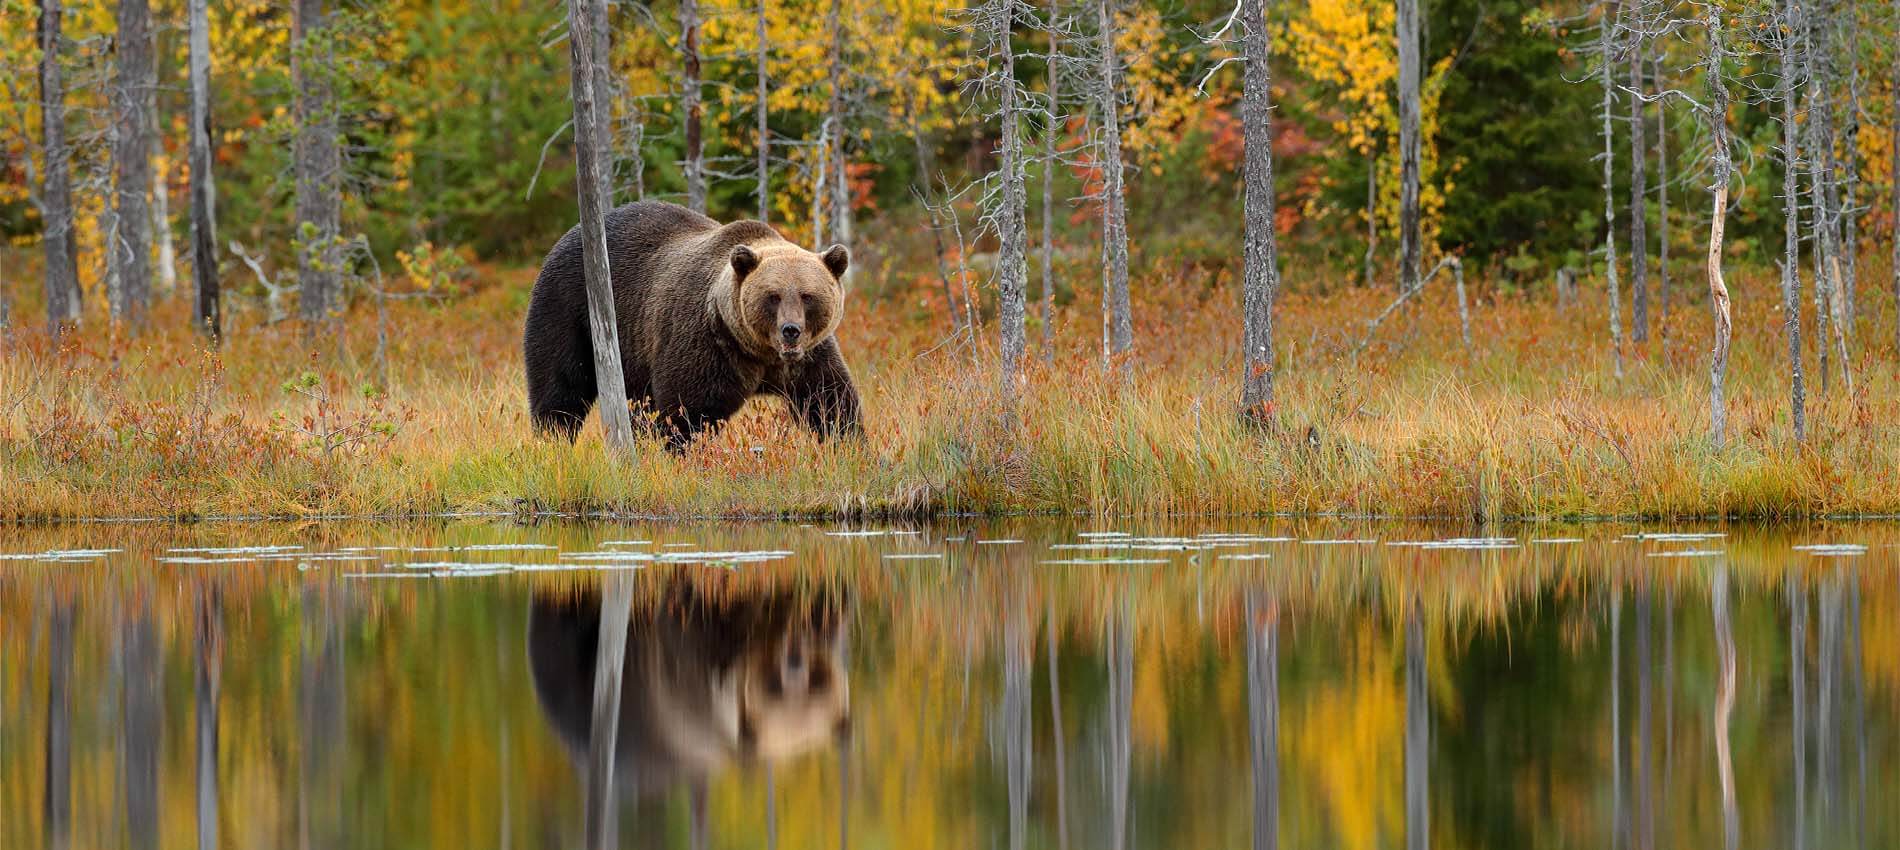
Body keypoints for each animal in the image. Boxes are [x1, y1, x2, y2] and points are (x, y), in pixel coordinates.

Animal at [528, 202, 870, 448]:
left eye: (807, 296)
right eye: (772, 296)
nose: (790, 330)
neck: (759, 351)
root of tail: (569, 235)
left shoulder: (809, 356)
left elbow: (830, 399)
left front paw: (851, 445)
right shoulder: (708, 343)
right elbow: (688, 409)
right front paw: (681, 452)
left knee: (637, 405)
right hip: (569, 307)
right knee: (560, 383)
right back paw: (553, 438)